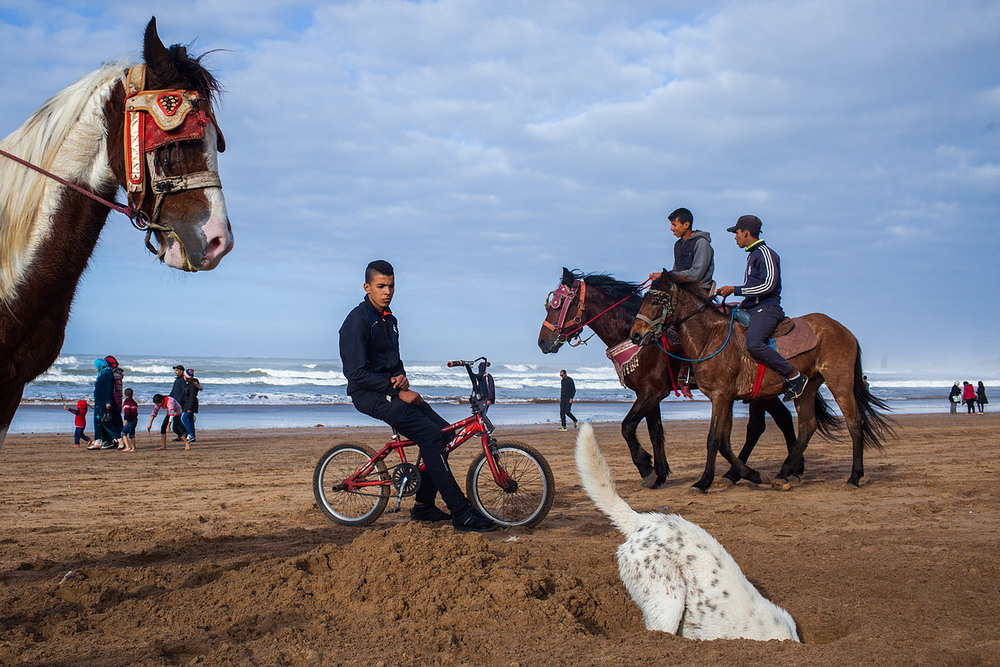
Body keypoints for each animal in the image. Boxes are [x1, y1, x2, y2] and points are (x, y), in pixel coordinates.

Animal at [540, 268, 836, 488]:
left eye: (557, 305)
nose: (543, 342)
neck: (633, 335)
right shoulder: (648, 394)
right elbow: (655, 432)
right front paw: (659, 473)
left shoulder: (653, 392)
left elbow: (627, 427)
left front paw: (646, 467)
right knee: (780, 420)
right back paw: (782, 469)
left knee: (765, 425)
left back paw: (767, 471)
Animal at [632, 272, 892, 496]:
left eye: (655, 301)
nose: (636, 335)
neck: (709, 338)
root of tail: (845, 331)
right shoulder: (726, 398)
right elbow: (724, 442)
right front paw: (752, 475)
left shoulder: (720, 395)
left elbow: (714, 440)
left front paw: (703, 482)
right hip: (808, 388)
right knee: (807, 425)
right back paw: (783, 473)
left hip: (839, 381)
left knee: (854, 422)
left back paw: (854, 476)